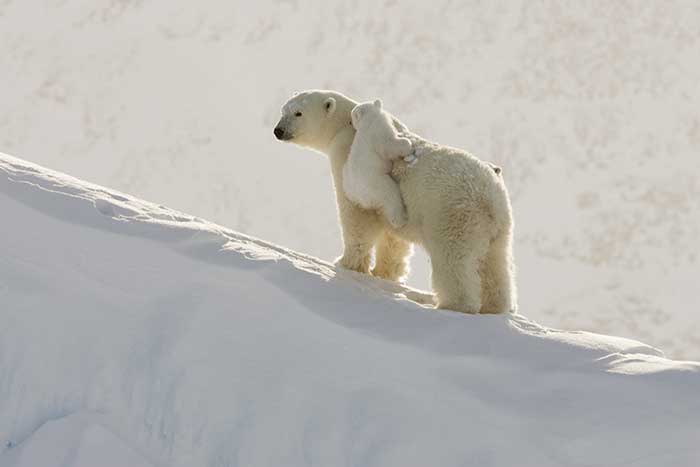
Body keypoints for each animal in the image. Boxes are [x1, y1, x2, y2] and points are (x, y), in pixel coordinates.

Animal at [274, 90, 516, 314]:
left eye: (298, 113)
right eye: (283, 110)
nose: (278, 131)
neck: (345, 124)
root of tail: (488, 197)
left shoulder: (349, 157)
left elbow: (357, 216)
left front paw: (346, 264)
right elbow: (394, 237)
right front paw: (383, 273)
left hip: (452, 214)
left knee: (453, 260)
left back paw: (452, 305)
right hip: (499, 227)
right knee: (496, 264)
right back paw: (495, 307)